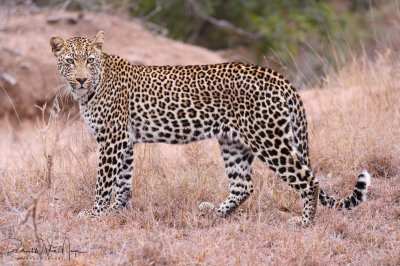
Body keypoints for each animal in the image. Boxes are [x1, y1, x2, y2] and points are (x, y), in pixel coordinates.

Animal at [50, 30, 372, 227]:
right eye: (70, 61)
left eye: (90, 61)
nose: (81, 79)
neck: (92, 87)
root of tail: (279, 77)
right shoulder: (125, 141)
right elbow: (123, 181)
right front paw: (118, 209)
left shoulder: (112, 140)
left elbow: (103, 181)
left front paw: (94, 214)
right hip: (234, 143)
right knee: (244, 185)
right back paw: (216, 213)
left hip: (269, 140)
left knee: (308, 180)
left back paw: (303, 222)